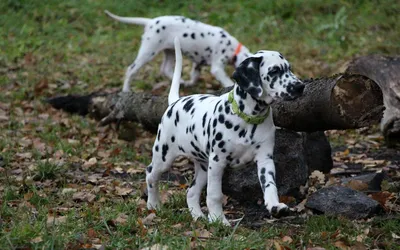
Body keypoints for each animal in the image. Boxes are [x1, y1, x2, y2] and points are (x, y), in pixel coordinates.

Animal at [104, 10, 252, 92]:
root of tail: (150, 21)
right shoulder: (217, 67)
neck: (231, 46)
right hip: (148, 51)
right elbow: (226, 80)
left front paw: (190, 83)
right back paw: (126, 90)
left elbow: (194, 76)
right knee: (131, 69)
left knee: (165, 69)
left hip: (170, 52)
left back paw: (181, 82)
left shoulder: (197, 63)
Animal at [147, 37, 306, 227]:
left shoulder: (265, 159)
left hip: (203, 167)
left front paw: (274, 205)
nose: (301, 86)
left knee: (191, 192)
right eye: (274, 71)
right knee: (150, 175)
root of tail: (175, 102)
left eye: (289, 68)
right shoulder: (218, 162)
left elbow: (269, 185)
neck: (248, 118)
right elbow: (214, 195)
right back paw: (153, 205)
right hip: (164, 157)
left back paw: (198, 216)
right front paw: (218, 219)